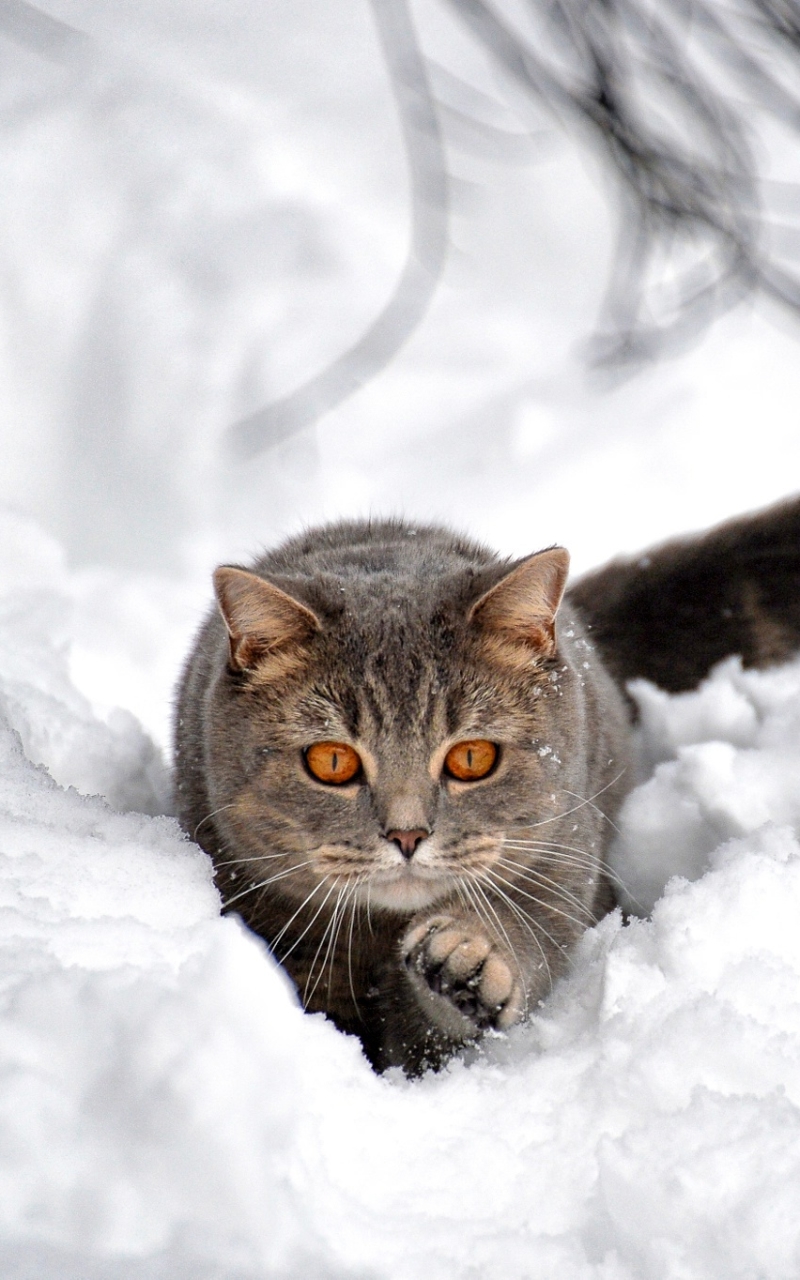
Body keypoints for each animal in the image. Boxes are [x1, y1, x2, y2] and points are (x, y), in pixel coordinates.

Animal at [172, 494, 798, 1075]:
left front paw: (466, 960)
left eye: (471, 757)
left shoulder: (560, 865)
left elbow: (510, 956)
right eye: (332, 762)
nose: (406, 834)